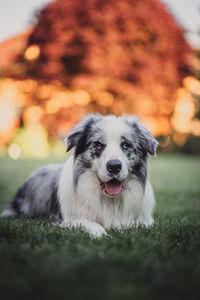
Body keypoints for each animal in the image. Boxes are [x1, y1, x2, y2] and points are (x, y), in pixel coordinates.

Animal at [1, 113, 158, 236]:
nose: (114, 166)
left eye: (126, 145)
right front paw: (102, 234)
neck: (110, 201)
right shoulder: (72, 219)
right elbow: (93, 225)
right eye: (98, 145)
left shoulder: (145, 221)